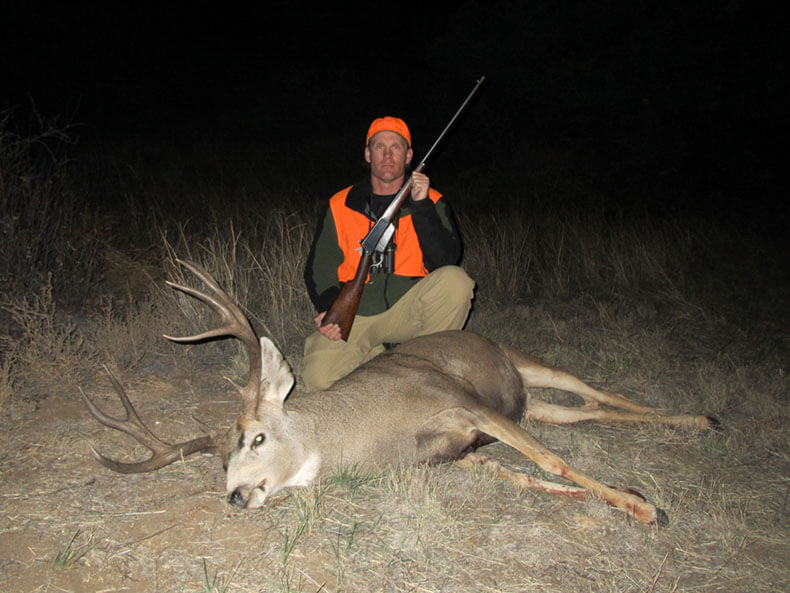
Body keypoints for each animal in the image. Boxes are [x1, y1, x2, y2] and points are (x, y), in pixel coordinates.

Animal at [81, 260, 717, 526]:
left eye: (257, 437)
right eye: (219, 464)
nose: (236, 496)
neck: (371, 431)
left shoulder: (461, 399)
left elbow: (549, 462)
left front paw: (647, 507)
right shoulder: (457, 452)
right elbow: (526, 473)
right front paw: (632, 497)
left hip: (525, 362)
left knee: (596, 391)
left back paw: (704, 420)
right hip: (531, 399)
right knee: (578, 414)